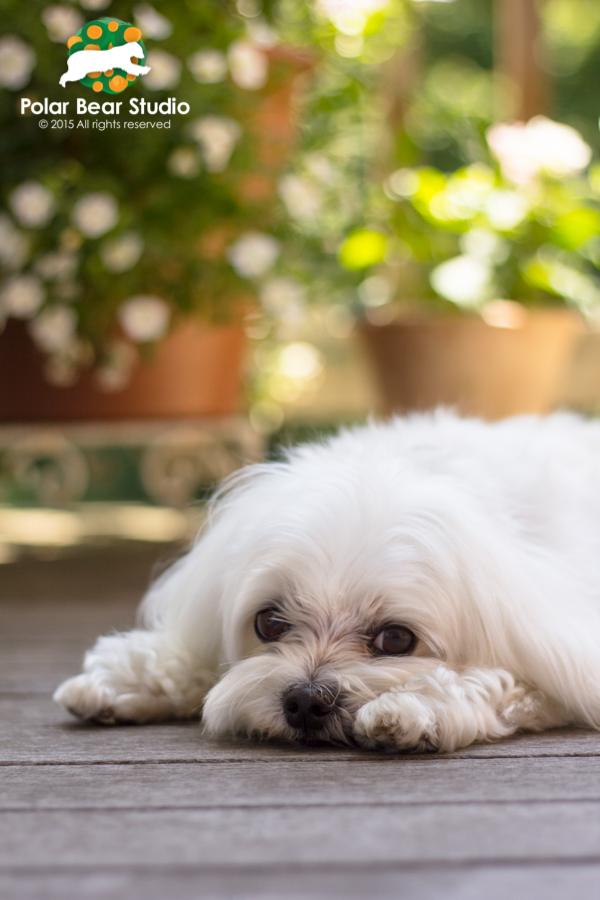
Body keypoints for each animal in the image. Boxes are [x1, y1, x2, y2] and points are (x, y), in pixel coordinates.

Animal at [52, 414, 600, 752]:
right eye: (269, 623)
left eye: (395, 639)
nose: (305, 701)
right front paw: (127, 679)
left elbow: (498, 682)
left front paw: (412, 707)